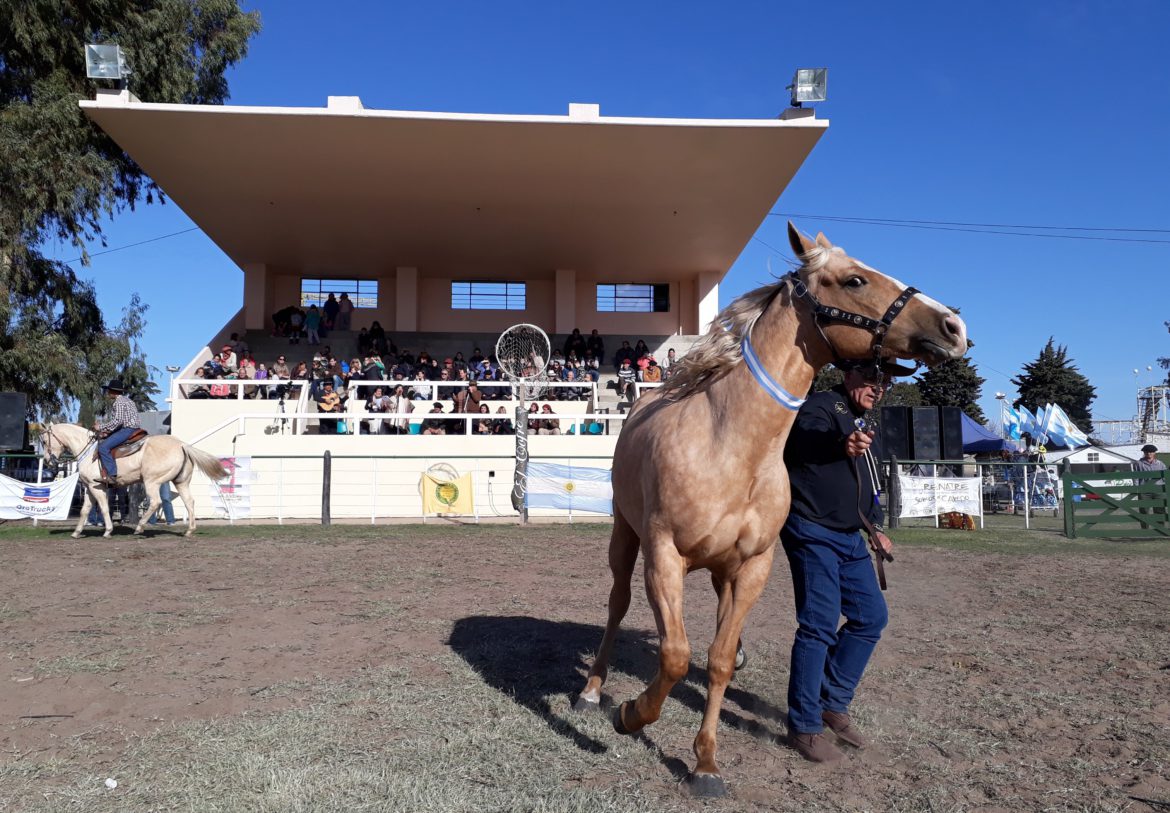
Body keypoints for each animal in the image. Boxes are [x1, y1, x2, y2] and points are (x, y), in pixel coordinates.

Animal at [39, 422, 230, 539]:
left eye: (44, 441)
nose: (49, 461)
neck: (88, 450)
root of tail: (182, 444)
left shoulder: (97, 486)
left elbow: (104, 508)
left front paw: (108, 530)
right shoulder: (89, 488)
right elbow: (85, 510)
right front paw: (77, 532)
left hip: (151, 481)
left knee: (155, 502)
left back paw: (140, 527)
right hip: (181, 482)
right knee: (189, 502)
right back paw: (189, 530)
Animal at [573, 223, 970, 796]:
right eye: (854, 279)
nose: (954, 326)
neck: (730, 445)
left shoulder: (754, 567)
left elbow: (716, 660)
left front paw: (706, 764)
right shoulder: (663, 557)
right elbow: (674, 655)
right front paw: (631, 714)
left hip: (720, 568)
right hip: (625, 539)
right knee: (617, 605)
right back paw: (591, 691)